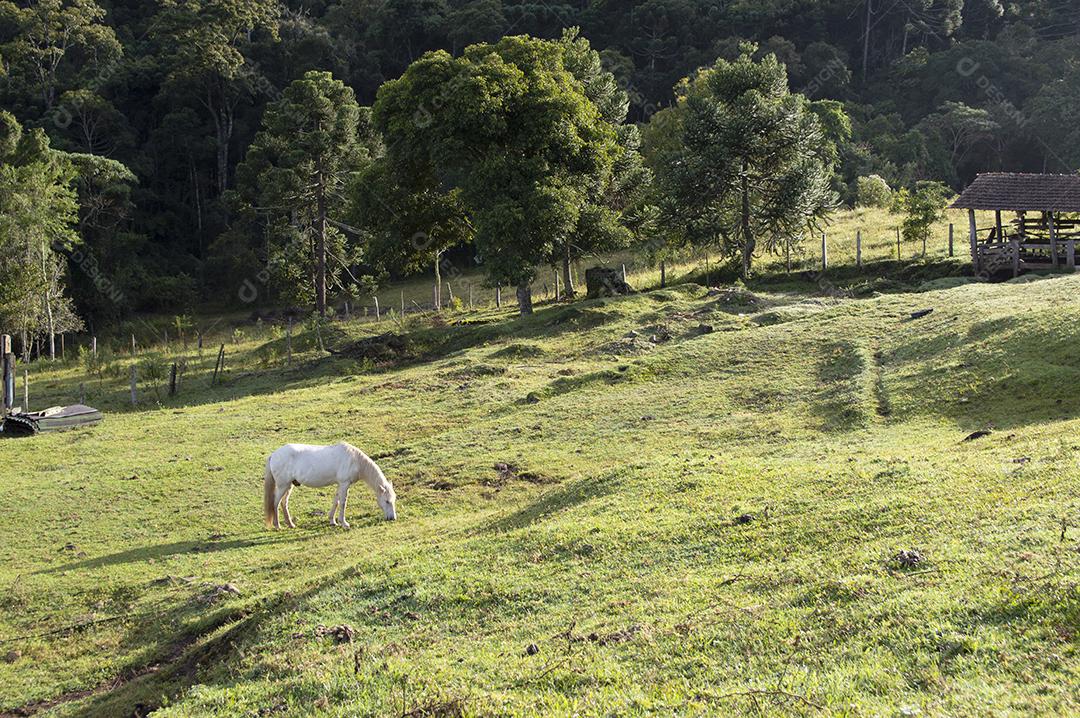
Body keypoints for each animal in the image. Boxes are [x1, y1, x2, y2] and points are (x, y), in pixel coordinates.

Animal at [263, 442, 396, 529]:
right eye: (387, 501)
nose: (392, 518)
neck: (354, 460)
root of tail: (273, 455)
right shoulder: (344, 484)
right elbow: (343, 503)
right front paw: (344, 523)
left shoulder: (340, 484)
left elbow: (336, 501)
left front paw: (332, 521)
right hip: (282, 485)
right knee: (275, 503)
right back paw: (277, 525)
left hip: (289, 486)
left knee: (283, 503)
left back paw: (290, 524)